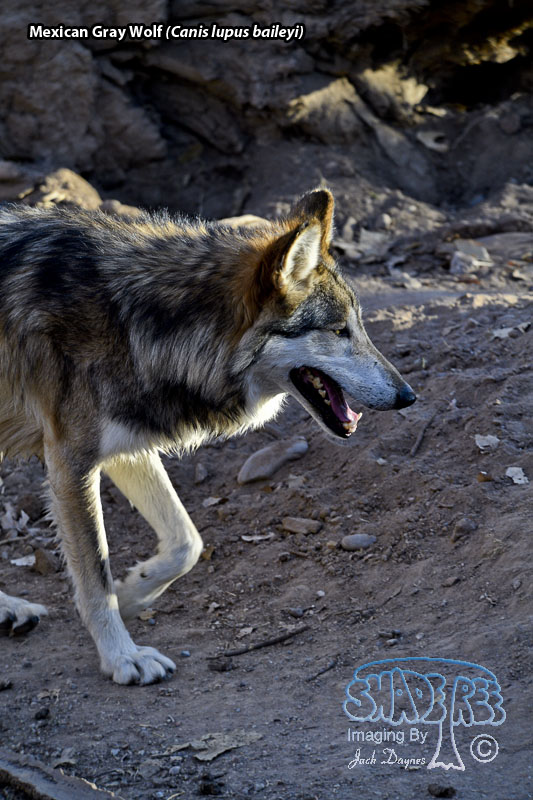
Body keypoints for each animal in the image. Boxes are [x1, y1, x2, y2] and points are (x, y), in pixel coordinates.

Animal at [0, 189, 415, 684]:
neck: (134, 320)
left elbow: (187, 542)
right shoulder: (70, 461)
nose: (408, 396)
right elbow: (95, 574)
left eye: (362, 328)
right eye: (339, 331)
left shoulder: (124, 445)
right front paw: (123, 657)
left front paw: (134, 591)